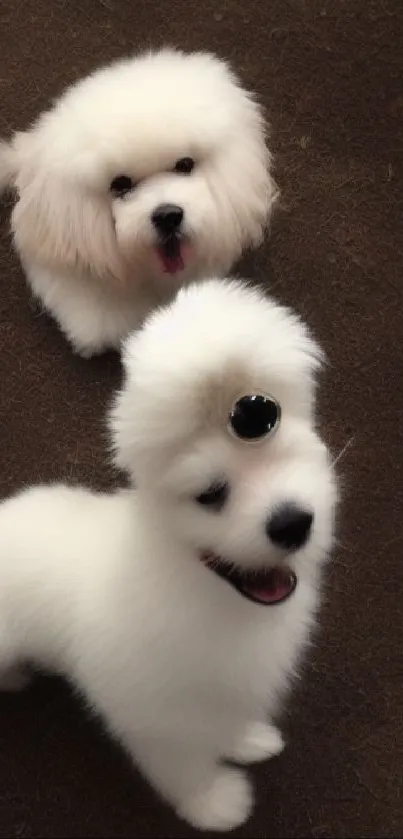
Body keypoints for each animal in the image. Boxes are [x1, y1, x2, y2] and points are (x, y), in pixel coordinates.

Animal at [0, 278, 338, 832]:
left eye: (285, 455)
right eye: (210, 494)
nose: (294, 522)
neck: (196, 588)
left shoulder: (222, 688)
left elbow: (225, 721)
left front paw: (246, 739)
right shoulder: (155, 717)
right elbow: (183, 768)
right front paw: (213, 803)